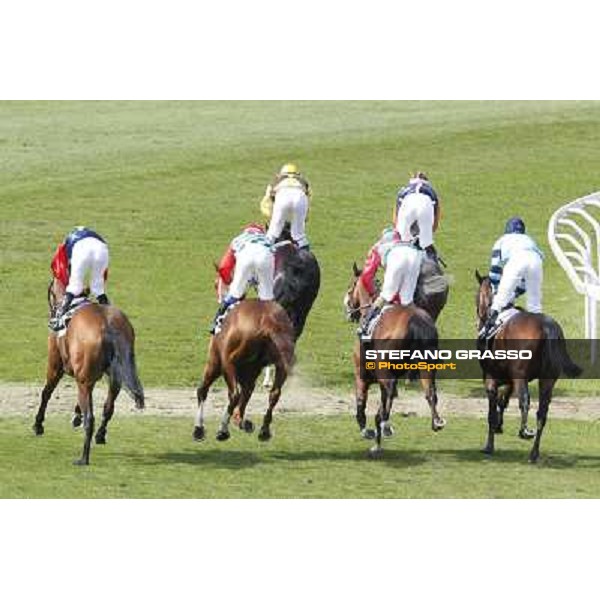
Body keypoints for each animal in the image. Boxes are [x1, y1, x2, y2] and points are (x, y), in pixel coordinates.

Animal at [36, 278, 146, 466]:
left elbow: (46, 393)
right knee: (108, 408)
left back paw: (84, 457)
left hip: (84, 381)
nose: (52, 315)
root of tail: (107, 325)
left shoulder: (55, 366)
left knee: (90, 419)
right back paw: (100, 435)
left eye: (50, 291)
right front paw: (76, 415)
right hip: (113, 380)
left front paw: (38, 425)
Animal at [193, 298, 294, 440]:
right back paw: (263, 430)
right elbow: (246, 394)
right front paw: (243, 422)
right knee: (274, 393)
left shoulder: (217, 362)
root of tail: (268, 321)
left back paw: (222, 430)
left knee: (232, 393)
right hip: (281, 366)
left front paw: (199, 428)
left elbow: (203, 390)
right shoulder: (250, 373)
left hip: (224, 363)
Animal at [342, 264, 446, 458]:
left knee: (390, 391)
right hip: (426, 366)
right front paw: (377, 441)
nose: (347, 306)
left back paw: (386, 426)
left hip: (384, 372)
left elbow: (361, 405)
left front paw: (367, 431)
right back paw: (436, 421)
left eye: (351, 286)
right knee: (430, 392)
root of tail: (416, 321)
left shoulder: (362, 375)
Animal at [474, 272, 580, 464]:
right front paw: (500, 425)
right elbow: (503, 400)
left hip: (521, 377)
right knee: (542, 414)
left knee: (524, 401)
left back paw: (525, 432)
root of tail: (547, 327)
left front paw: (489, 445)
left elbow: (492, 411)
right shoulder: (508, 379)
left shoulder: (491, 377)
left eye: (476, 296)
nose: (478, 320)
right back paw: (534, 453)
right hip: (547, 380)